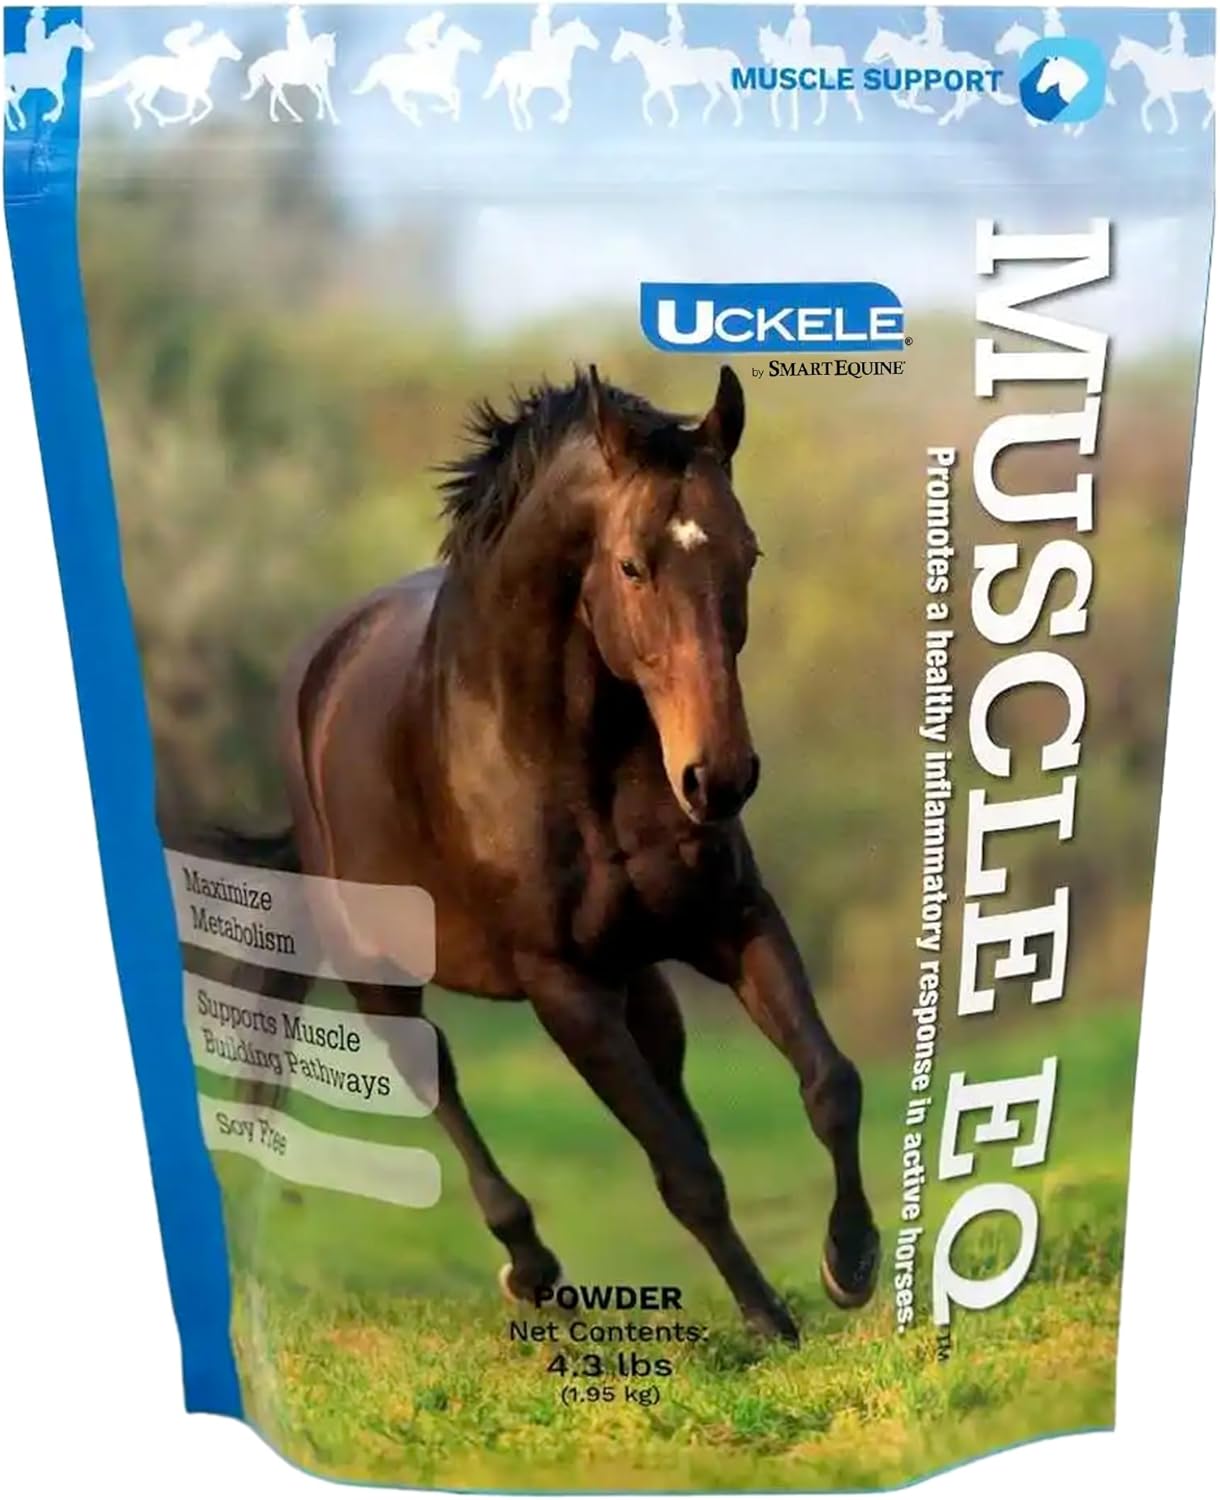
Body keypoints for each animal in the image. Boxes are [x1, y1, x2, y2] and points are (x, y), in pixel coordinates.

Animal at [82, 31, 240, 130]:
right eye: (226, 44)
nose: (240, 54)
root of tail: (133, 64)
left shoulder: (195, 93)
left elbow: (205, 107)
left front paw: (192, 120)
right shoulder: (194, 92)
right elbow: (194, 109)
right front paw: (179, 120)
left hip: (148, 87)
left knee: (139, 101)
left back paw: (154, 120)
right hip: (149, 87)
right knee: (136, 101)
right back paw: (148, 121)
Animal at [224, 367, 879, 1340]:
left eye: (749, 554)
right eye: (632, 565)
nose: (718, 778)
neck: (571, 757)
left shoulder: (733, 921)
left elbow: (828, 1084)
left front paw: (852, 1262)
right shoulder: (561, 986)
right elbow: (685, 1171)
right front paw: (768, 1321)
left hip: (638, 975)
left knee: (670, 1077)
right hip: (382, 974)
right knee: (436, 1078)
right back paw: (528, 1266)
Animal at [352, 25, 482, 125]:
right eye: (464, 35)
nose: (479, 45)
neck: (441, 61)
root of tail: (380, 63)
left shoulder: (443, 89)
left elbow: (455, 96)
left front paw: (447, 113)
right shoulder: (441, 89)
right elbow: (454, 97)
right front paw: (449, 113)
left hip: (399, 89)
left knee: (400, 104)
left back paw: (414, 112)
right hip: (397, 89)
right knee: (399, 104)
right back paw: (416, 119)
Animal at [609, 28, 744, 127]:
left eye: (621, 43)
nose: (612, 58)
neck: (654, 57)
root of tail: (721, 53)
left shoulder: (659, 85)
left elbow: (663, 100)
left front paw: (670, 121)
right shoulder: (660, 86)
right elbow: (649, 98)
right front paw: (654, 120)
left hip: (711, 82)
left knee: (721, 96)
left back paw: (717, 118)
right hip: (720, 82)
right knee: (728, 96)